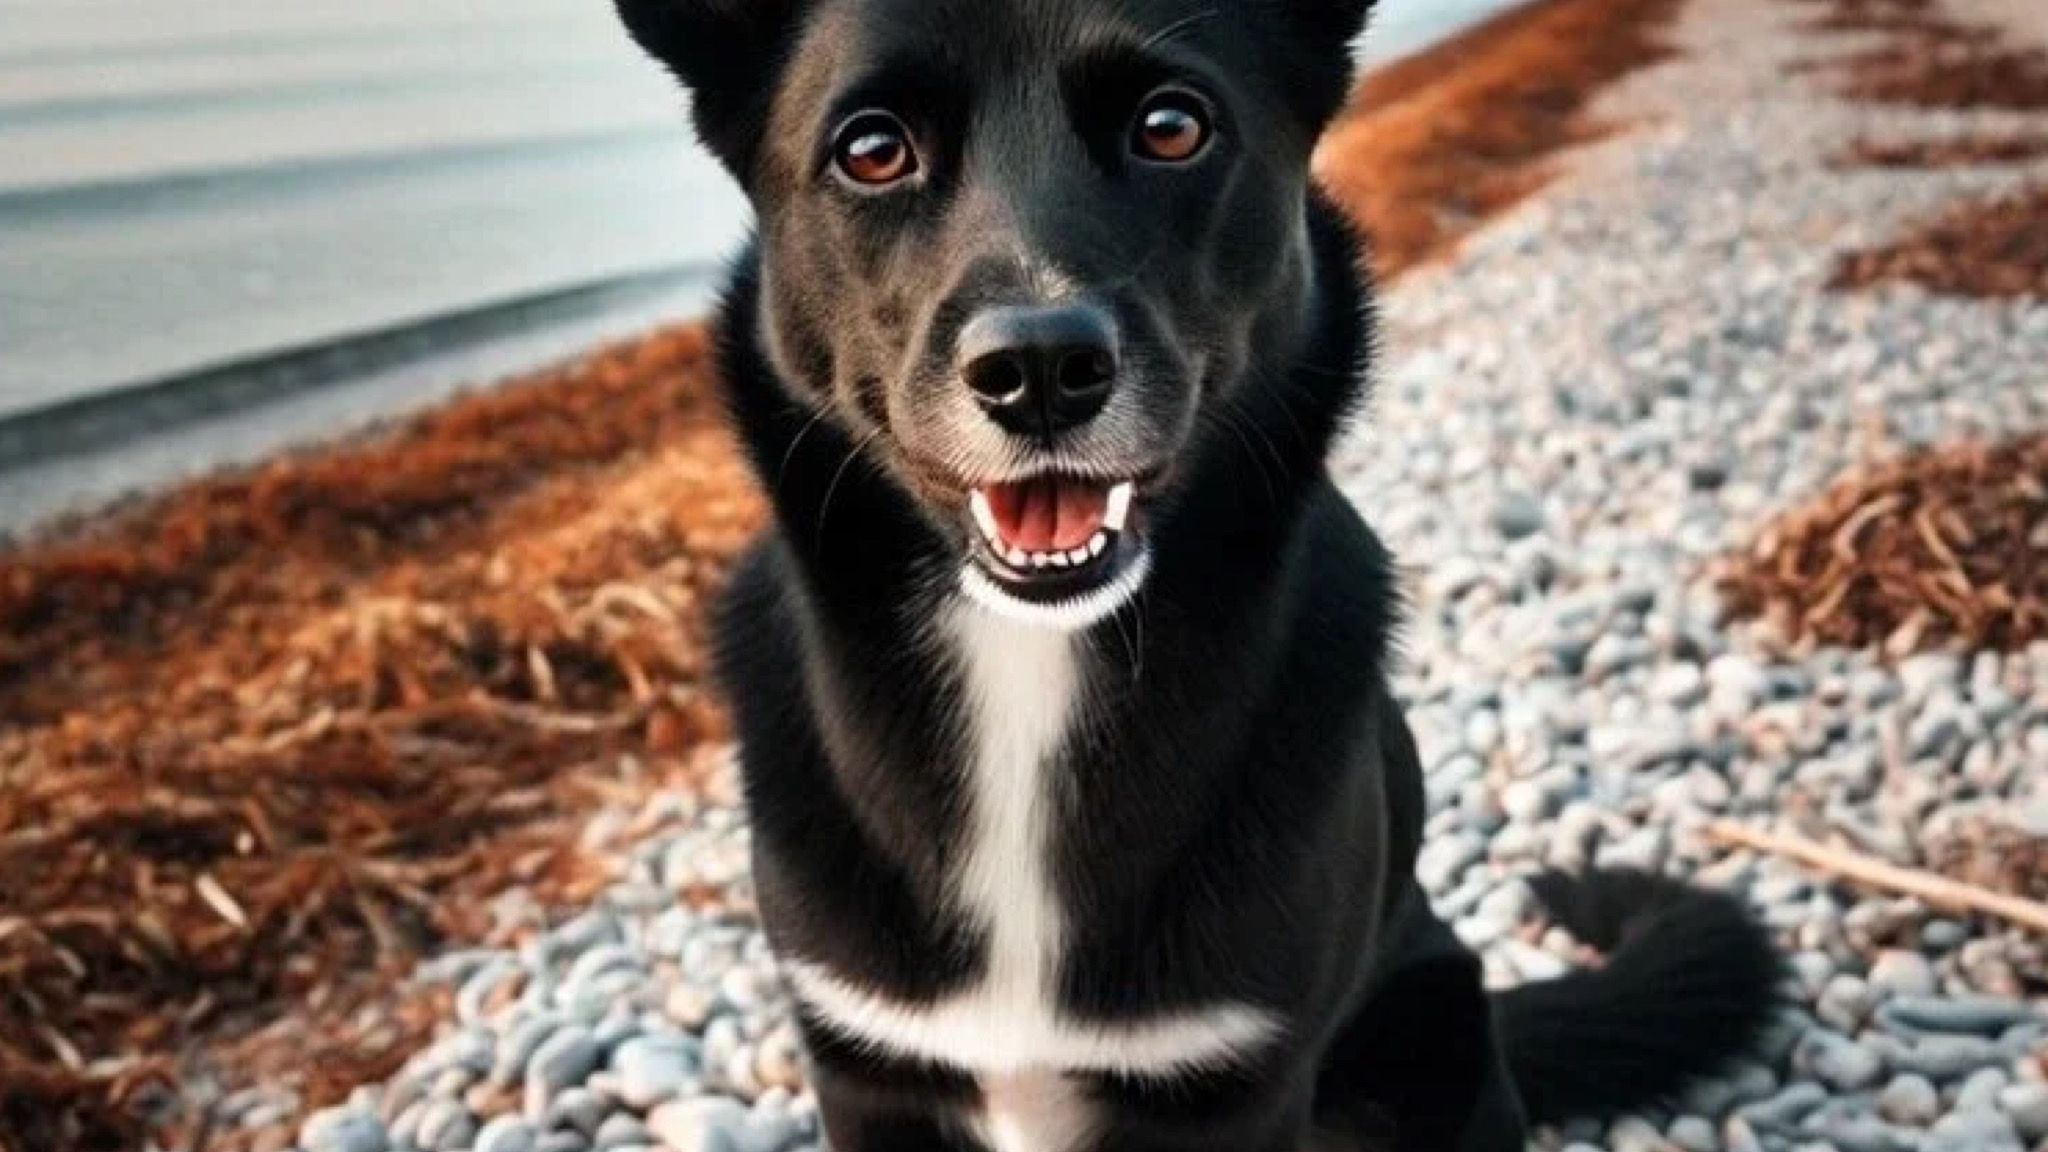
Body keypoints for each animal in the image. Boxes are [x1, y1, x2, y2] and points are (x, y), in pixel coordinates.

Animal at [614, 4, 1785, 1139]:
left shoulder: (1236, 1083)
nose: (1040, 370)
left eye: (1171, 127)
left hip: (1430, 1028)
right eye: (871, 150)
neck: (1030, 661)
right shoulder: (870, 1070)